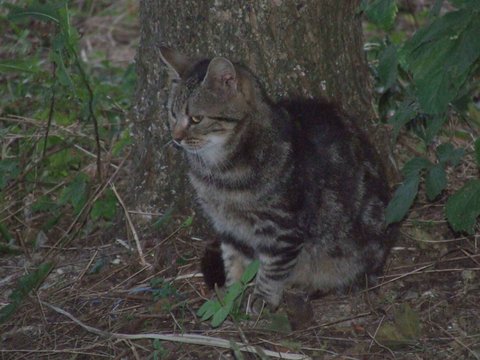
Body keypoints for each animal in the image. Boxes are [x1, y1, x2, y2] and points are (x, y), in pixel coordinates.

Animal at [159, 46, 396, 310]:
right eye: (172, 113)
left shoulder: (282, 229)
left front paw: (262, 299)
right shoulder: (228, 228)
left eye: (196, 119)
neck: (219, 172)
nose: (176, 137)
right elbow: (233, 262)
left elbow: (272, 270)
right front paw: (231, 296)